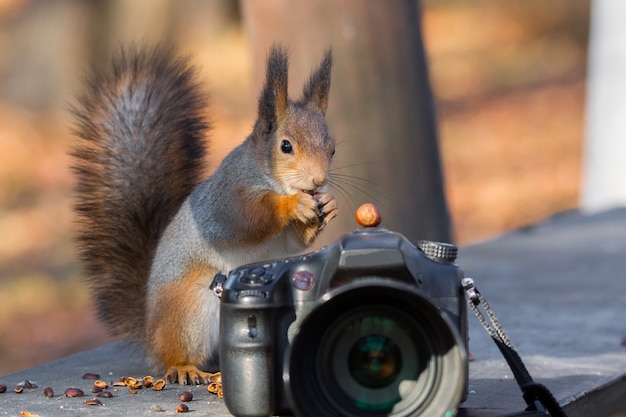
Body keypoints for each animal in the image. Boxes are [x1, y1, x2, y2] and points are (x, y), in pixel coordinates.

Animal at [70, 44, 338, 386]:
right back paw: (184, 366)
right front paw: (293, 205)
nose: (319, 181)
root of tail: (150, 331)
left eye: (332, 149)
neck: (271, 178)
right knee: (174, 353)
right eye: (286, 146)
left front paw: (328, 205)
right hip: (191, 310)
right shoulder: (229, 197)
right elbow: (251, 218)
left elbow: (294, 243)